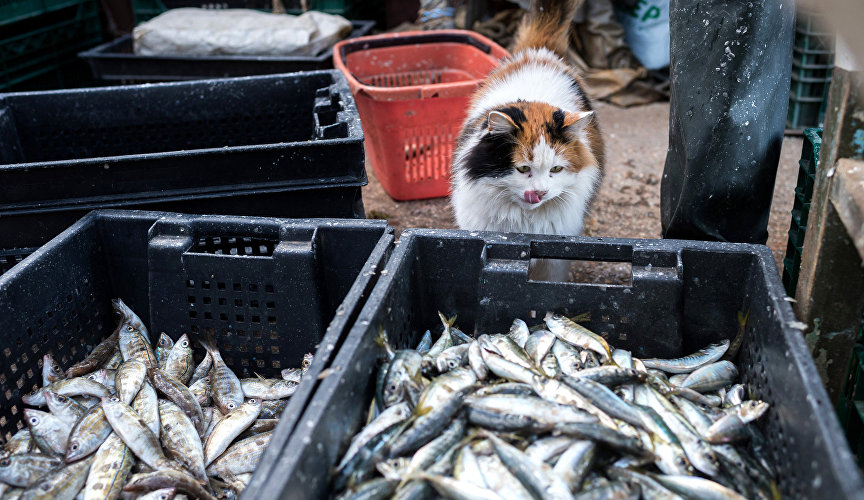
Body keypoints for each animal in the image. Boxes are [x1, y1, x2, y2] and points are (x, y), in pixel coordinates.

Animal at [448, 0, 604, 282]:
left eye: (556, 169)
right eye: (522, 168)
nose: (539, 192)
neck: (524, 225)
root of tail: (540, 51)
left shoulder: (556, 255)